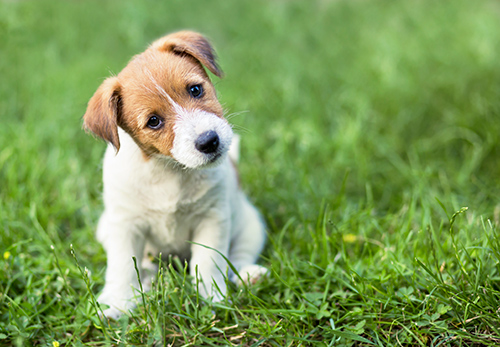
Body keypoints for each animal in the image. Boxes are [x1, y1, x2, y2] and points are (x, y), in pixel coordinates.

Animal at [84, 31, 268, 320]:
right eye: (154, 121)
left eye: (195, 89)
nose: (209, 141)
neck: (169, 169)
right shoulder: (125, 226)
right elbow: (122, 266)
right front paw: (117, 302)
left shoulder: (212, 219)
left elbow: (209, 261)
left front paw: (212, 296)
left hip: (252, 225)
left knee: (238, 255)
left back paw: (249, 275)